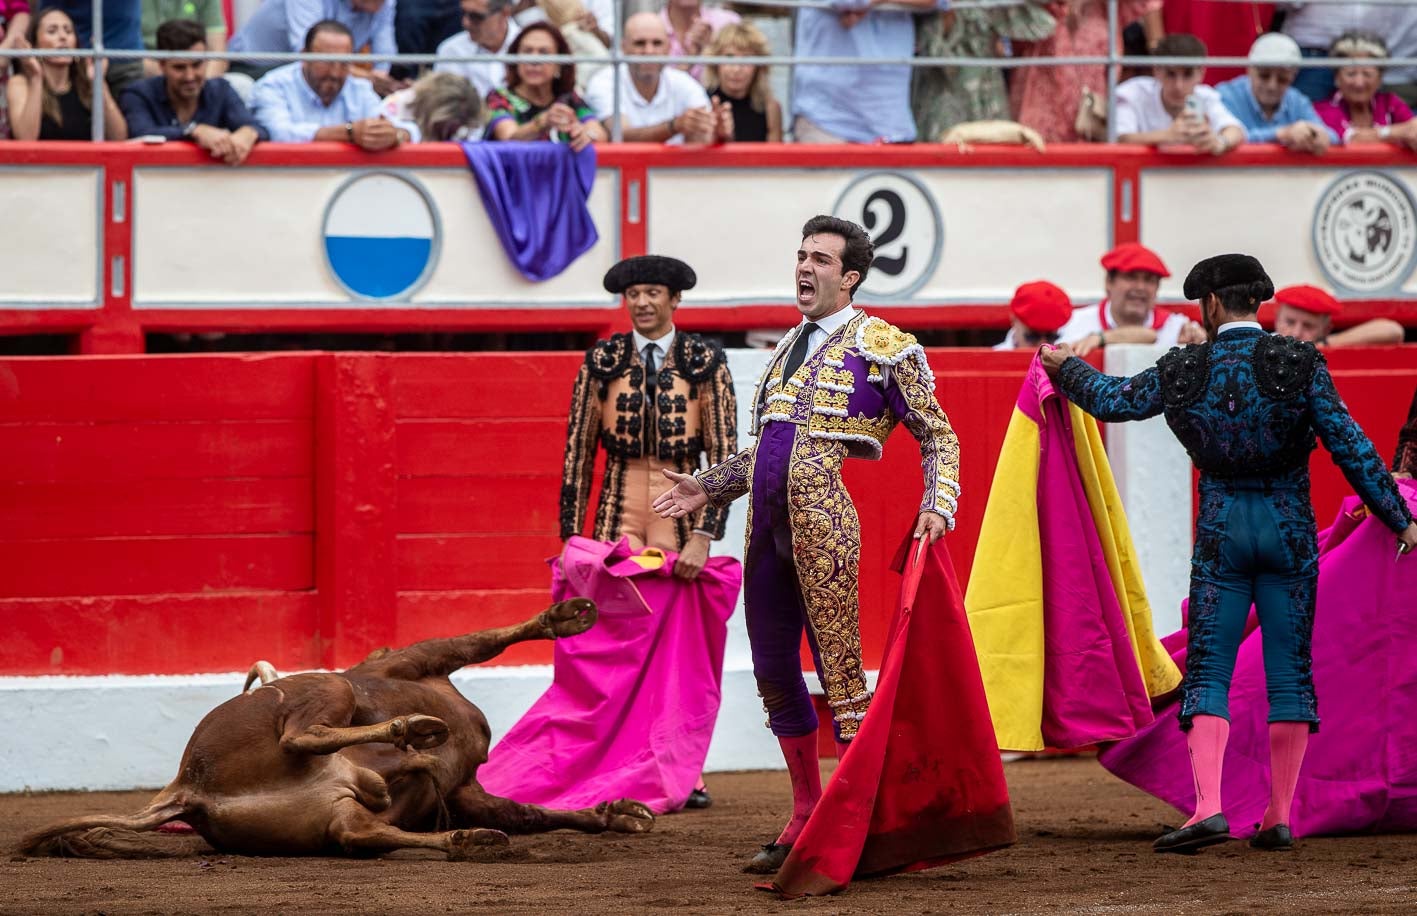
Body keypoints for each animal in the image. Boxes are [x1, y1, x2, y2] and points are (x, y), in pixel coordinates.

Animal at [15, 598, 651, 867]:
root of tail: (187, 789)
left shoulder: (465, 791)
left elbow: (529, 812)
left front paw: (618, 815)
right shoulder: (414, 659)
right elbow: (485, 638)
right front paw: (567, 615)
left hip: (332, 814)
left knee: (359, 833)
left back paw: (467, 837)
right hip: (330, 687)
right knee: (301, 735)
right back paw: (415, 732)